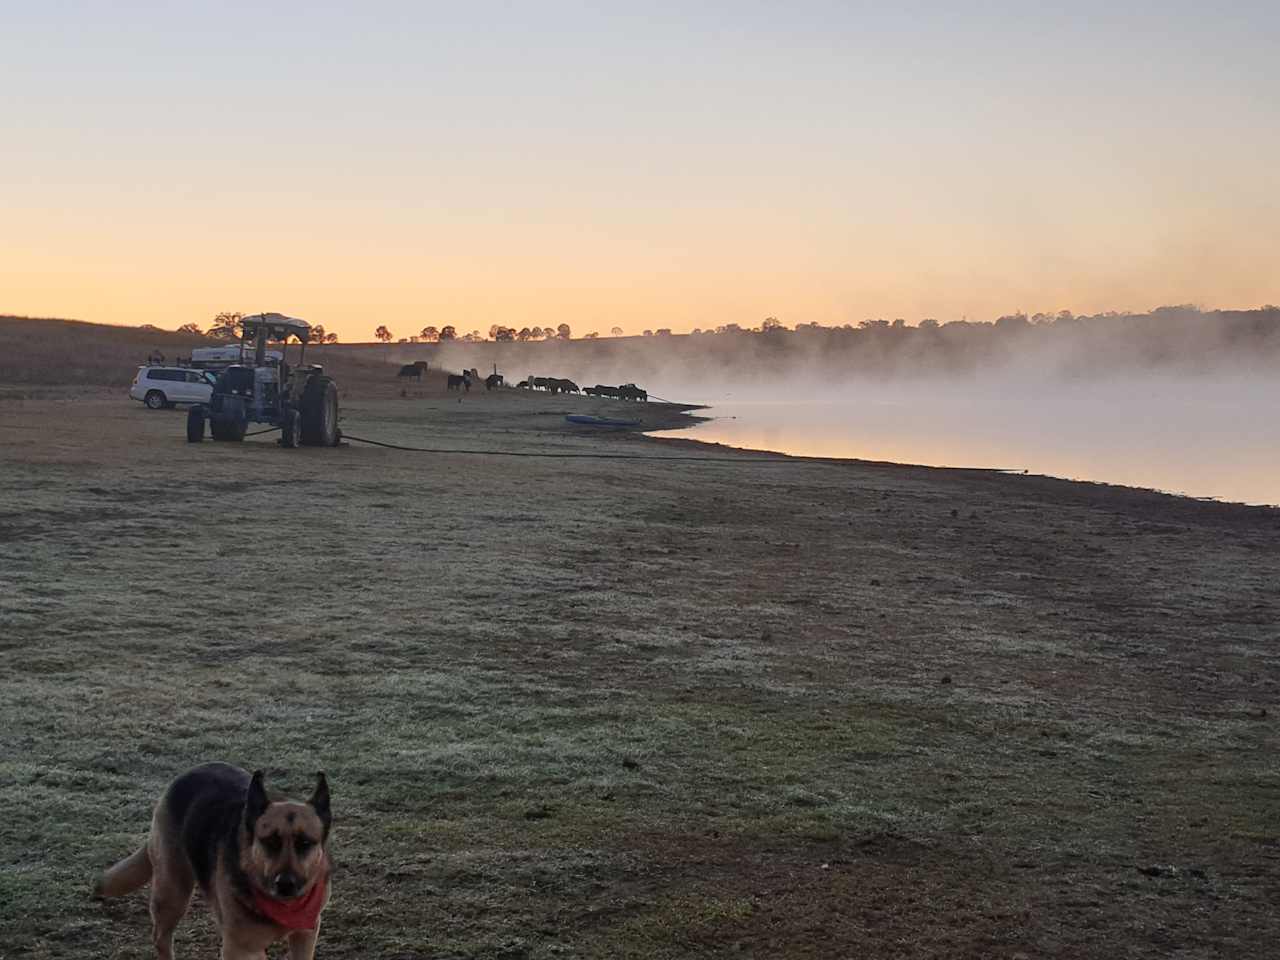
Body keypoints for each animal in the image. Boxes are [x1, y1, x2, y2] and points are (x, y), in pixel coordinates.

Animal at [96, 768, 335, 960]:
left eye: (305, 843)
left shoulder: (305, 934)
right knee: (160, 938)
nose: (285, 884)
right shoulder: (240, 949)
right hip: (173, 893)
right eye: (270, 842)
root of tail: (186, 775)